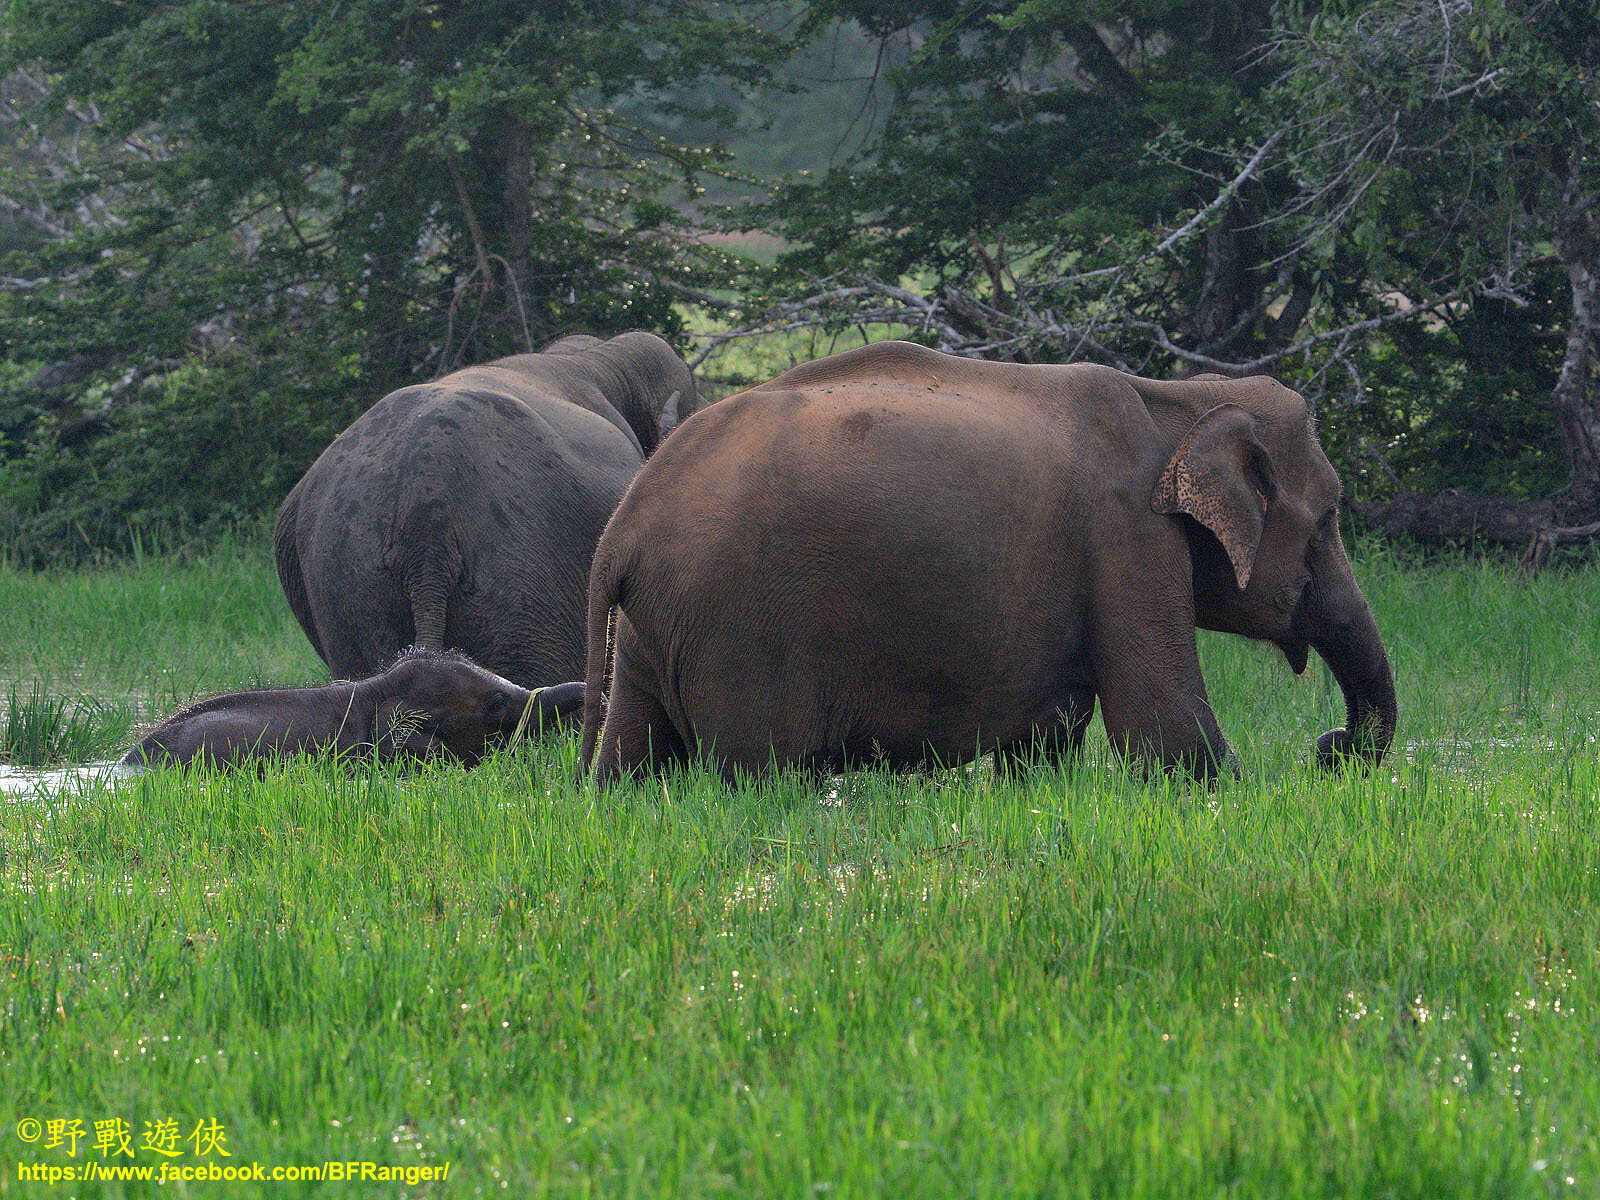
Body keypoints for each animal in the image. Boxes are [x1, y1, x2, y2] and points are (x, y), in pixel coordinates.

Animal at [582, 340, 1395, 790]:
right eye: (1328, 519)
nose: (1328, 750)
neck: (1176, 399)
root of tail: (620, 530)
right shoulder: (1127, 538)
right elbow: (1166, 733)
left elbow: (1045, 743)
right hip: (737, 633)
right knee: (761, 775)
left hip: (655, 630)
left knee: (631, 763)